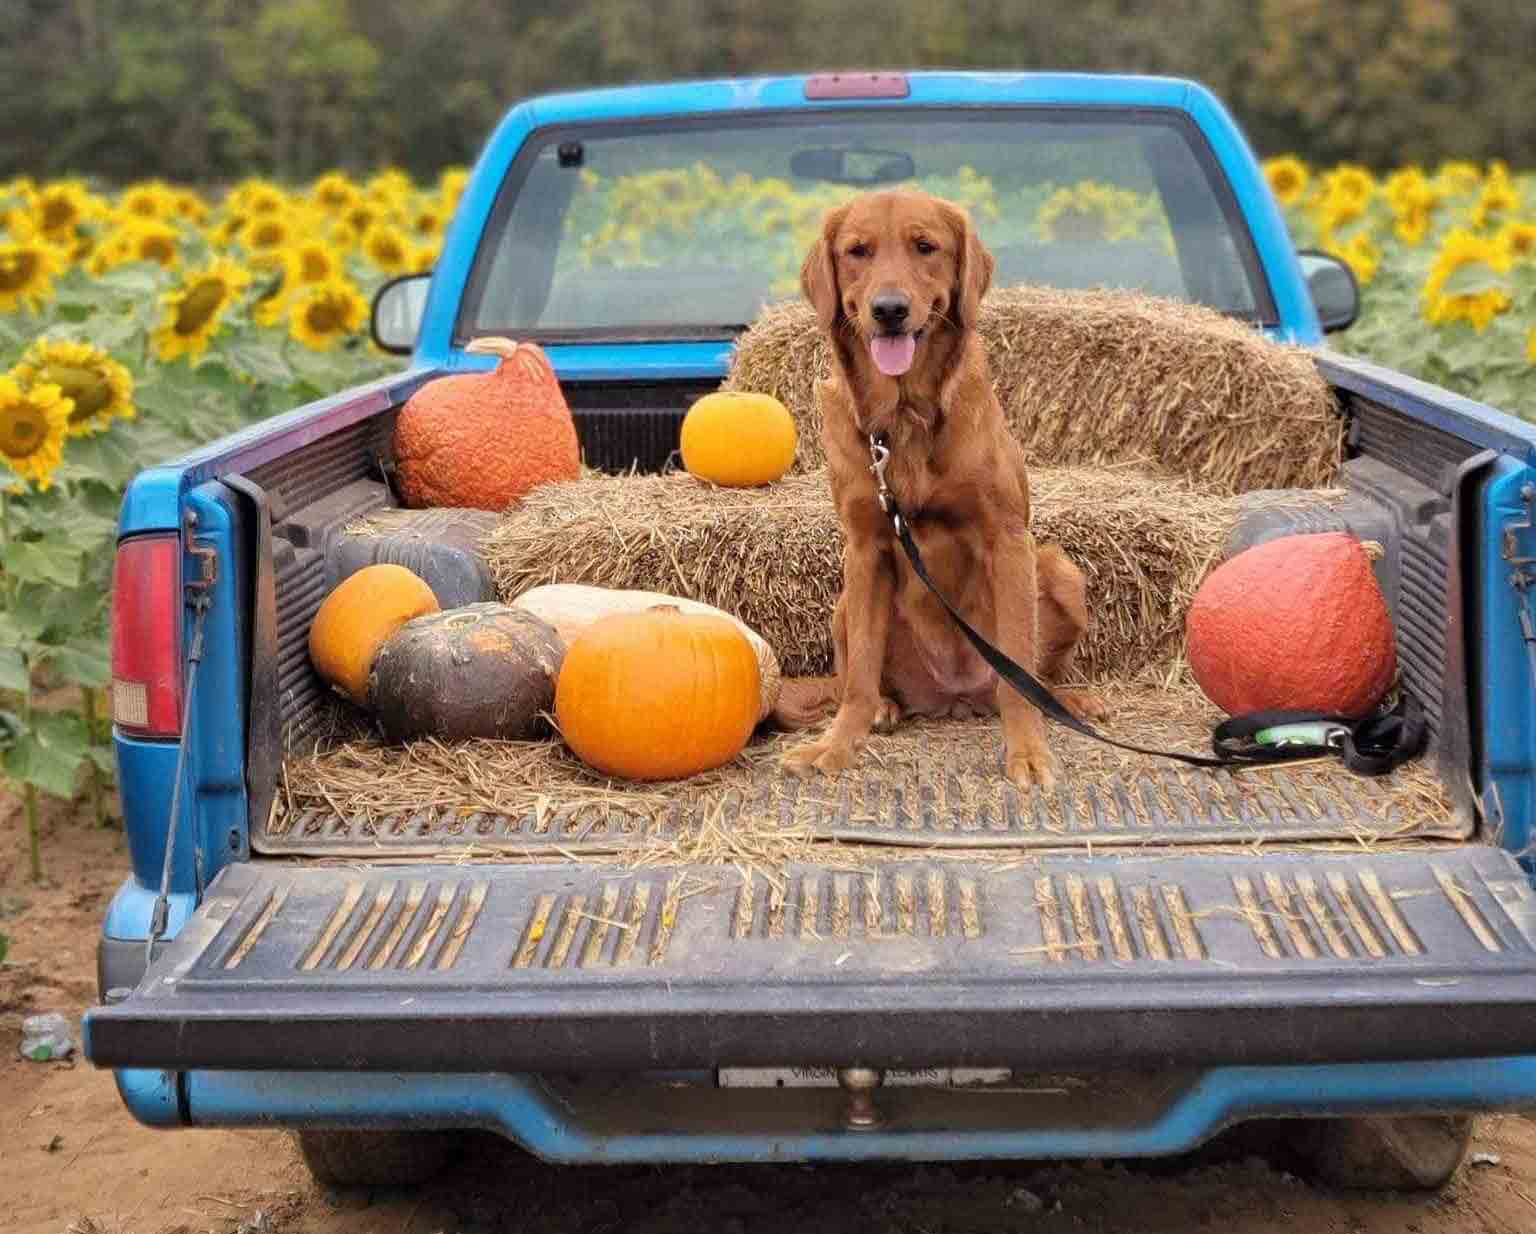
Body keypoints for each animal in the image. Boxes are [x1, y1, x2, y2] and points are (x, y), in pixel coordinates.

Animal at [780, 192, 1105, 792]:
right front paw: (837, 745)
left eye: (925, 246)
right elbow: (858, 675)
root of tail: (953, 697)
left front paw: (1028, 751)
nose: (888, 309)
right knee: (855, 677)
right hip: (844, 602)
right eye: (858, 251)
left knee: (1029, 678)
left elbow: (1018, 663)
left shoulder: (1008, 540)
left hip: (1059, 571)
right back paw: (885, 708)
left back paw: (1067, 702)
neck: (904, 418)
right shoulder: (864, 548)